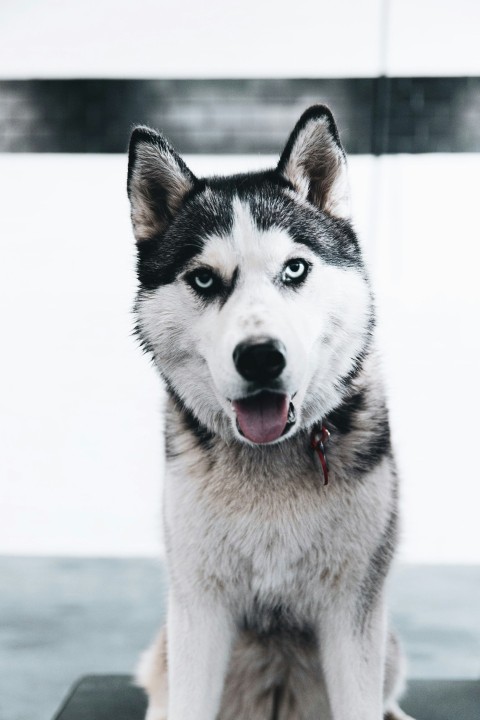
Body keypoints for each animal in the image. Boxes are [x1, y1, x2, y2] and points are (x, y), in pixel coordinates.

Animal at [126, 105, 412, 720]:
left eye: (295, 269)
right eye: (203, 278)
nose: (260, 357)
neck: (268, 466)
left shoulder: (353, 610)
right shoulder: (199, 608)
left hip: (387, 644)